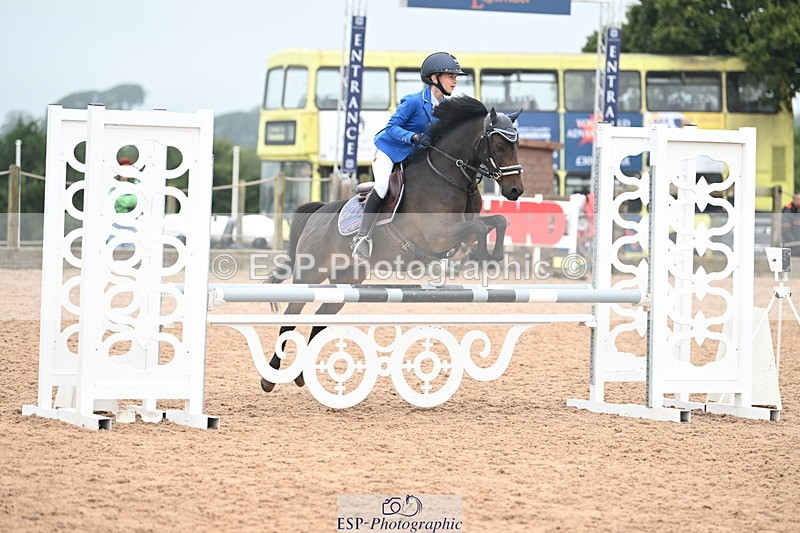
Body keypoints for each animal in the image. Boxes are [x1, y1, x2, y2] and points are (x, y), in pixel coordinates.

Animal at [261, 95, 525, 392]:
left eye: (517, 144)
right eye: (500, 145)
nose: (515, 190)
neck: (448, 175)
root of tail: (318, 212)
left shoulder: (460, 231)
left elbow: (497, 221)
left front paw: (491, 256)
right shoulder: (439, 234)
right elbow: (480, 227)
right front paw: (481, 255)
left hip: (346, 282)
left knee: (320, 318)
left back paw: (300, 375)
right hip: (310, 276)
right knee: (291, 316)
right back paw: (270, 378)